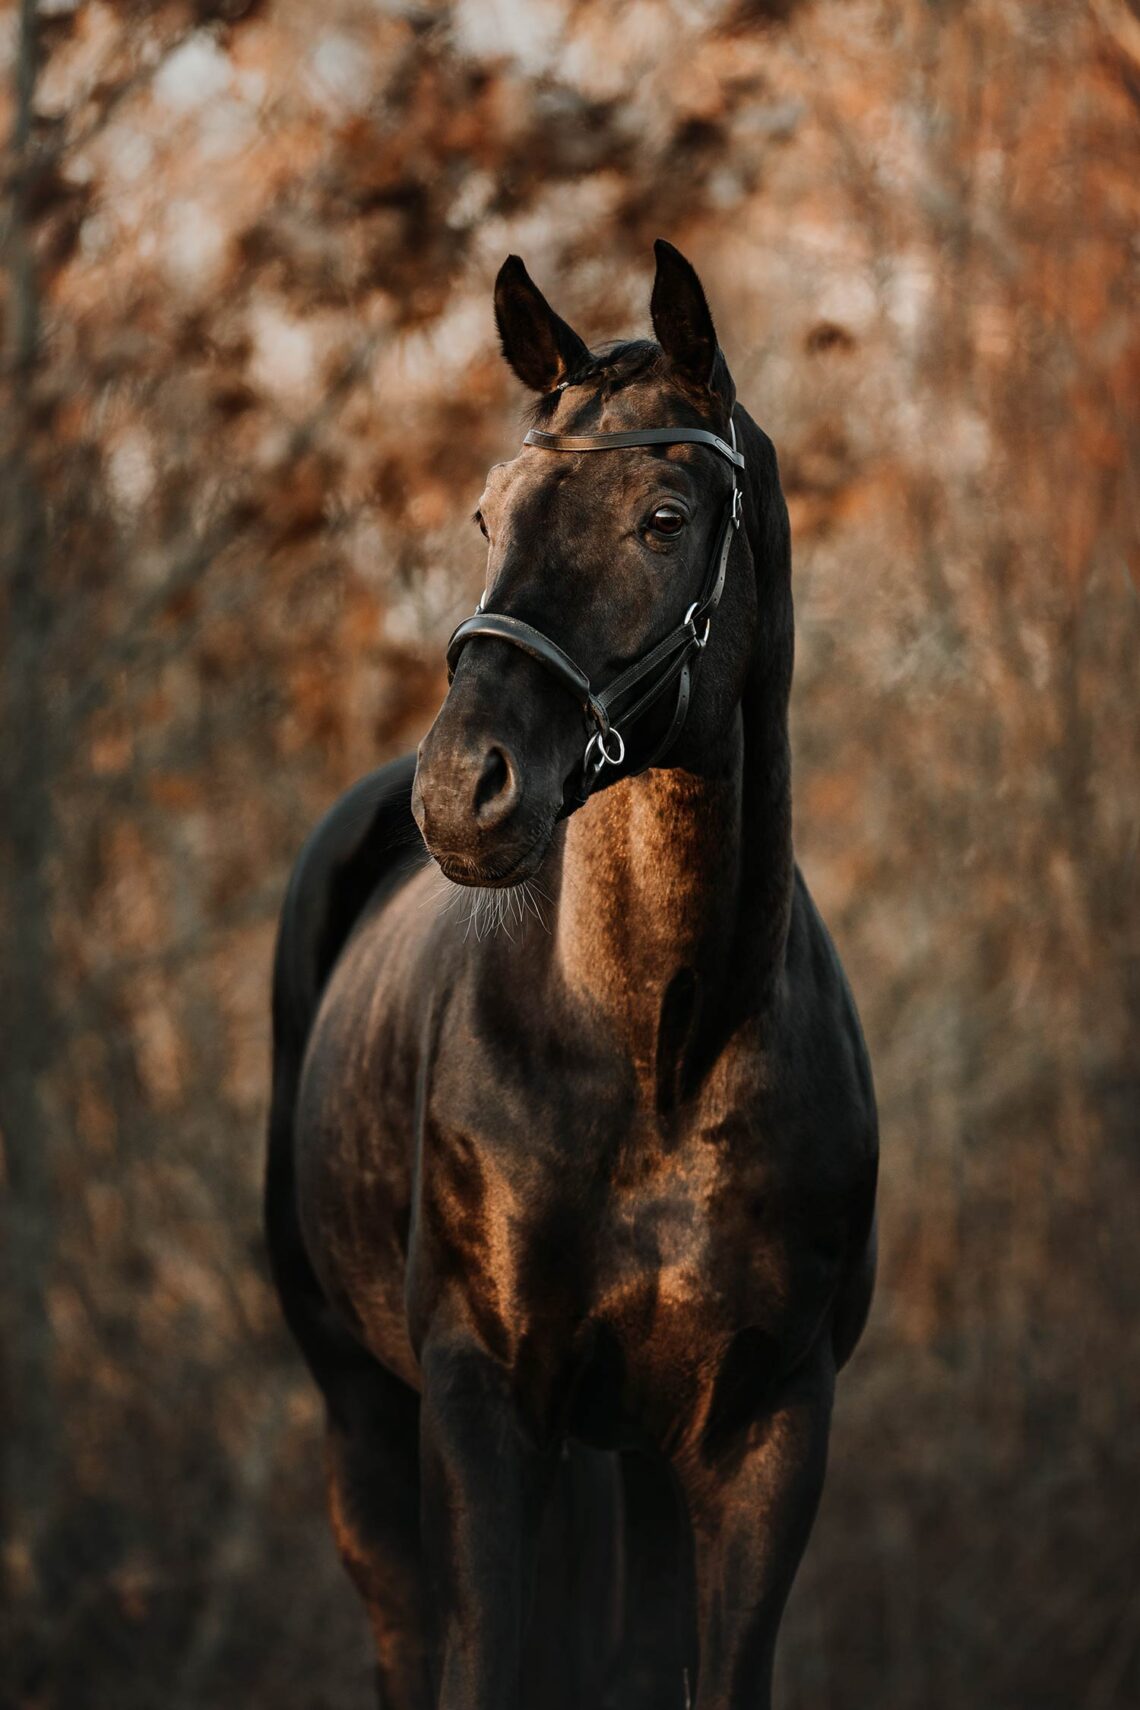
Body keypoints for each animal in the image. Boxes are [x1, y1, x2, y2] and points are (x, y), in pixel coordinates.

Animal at [265, 239, 878, 1710]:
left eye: (665, 517)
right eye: (490, 516)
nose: (463, 790)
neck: (657, 1045)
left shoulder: (763, 1430)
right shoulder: (484, 1408)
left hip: (638, 1460)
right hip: (364, 1416)